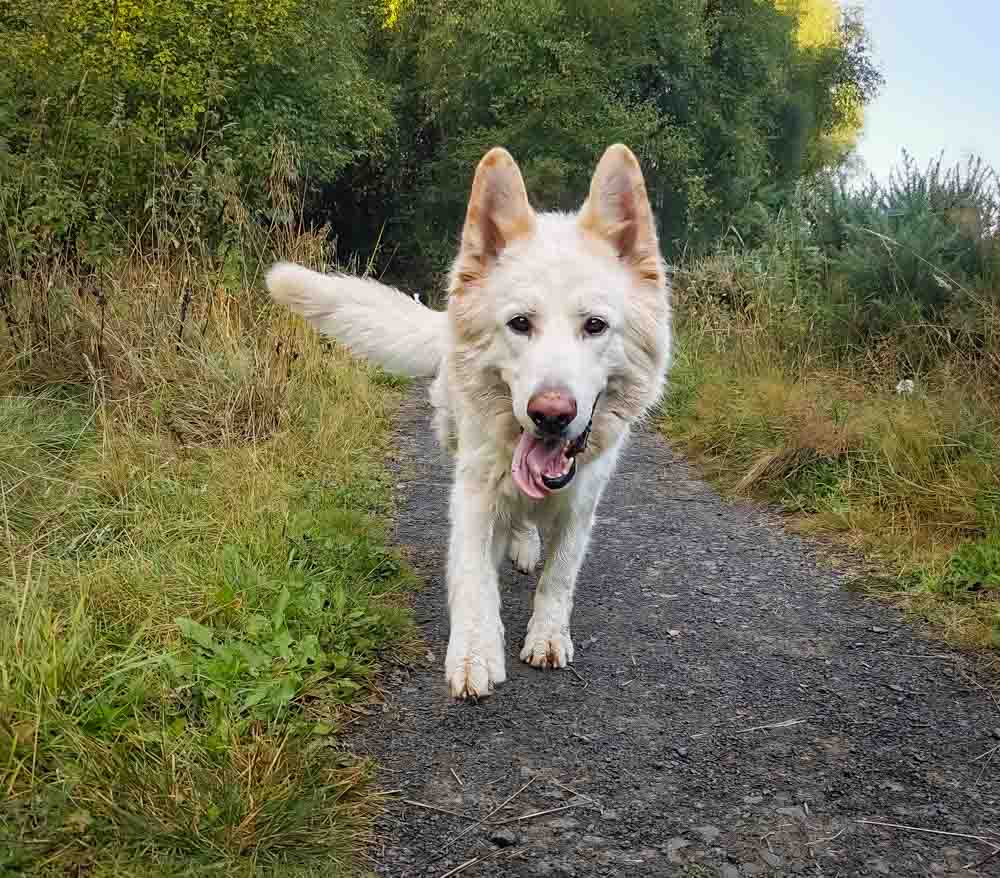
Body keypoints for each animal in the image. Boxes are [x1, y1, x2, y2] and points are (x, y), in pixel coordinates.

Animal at [266, 144, 672, 700]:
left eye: (595, 326)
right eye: (520, 324)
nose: (550, 414)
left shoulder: (582, 500)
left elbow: (560, 575)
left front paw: (547, 634)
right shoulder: (475, 492)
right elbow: (474, 577)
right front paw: (474, 652)